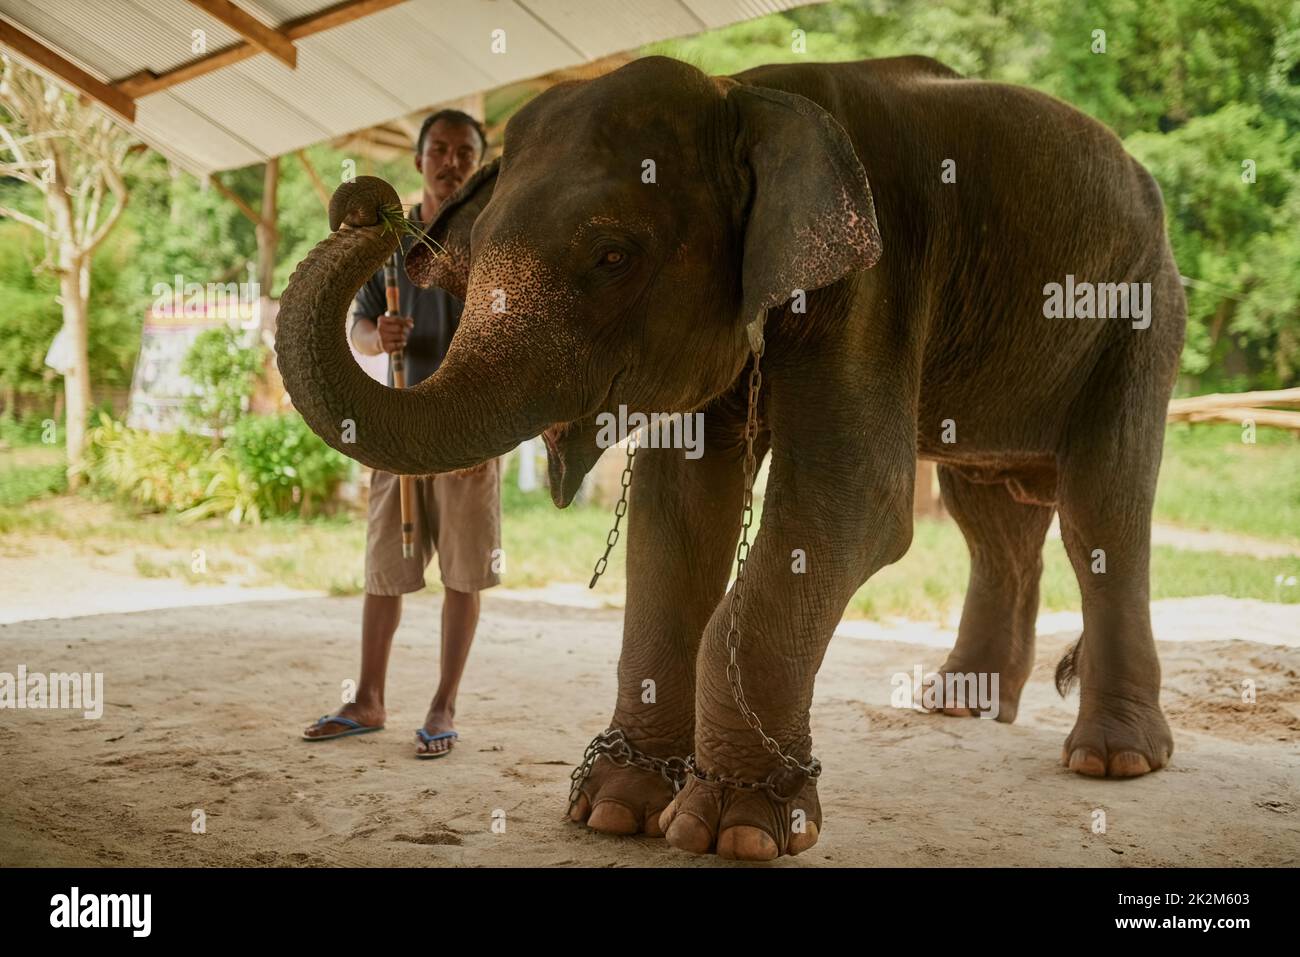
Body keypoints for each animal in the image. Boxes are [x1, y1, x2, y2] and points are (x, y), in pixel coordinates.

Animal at [276, 54, 1190, 858]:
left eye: (612, 256)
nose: (367, 204)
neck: (743, 93)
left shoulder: (874, 280)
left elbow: (854, 501)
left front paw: (743, 827)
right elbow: (680, 512)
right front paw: (615, 808)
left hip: (1142, 308)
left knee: (1100, 505)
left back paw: (1113, 759)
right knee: (990, 517)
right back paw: (958, 705)